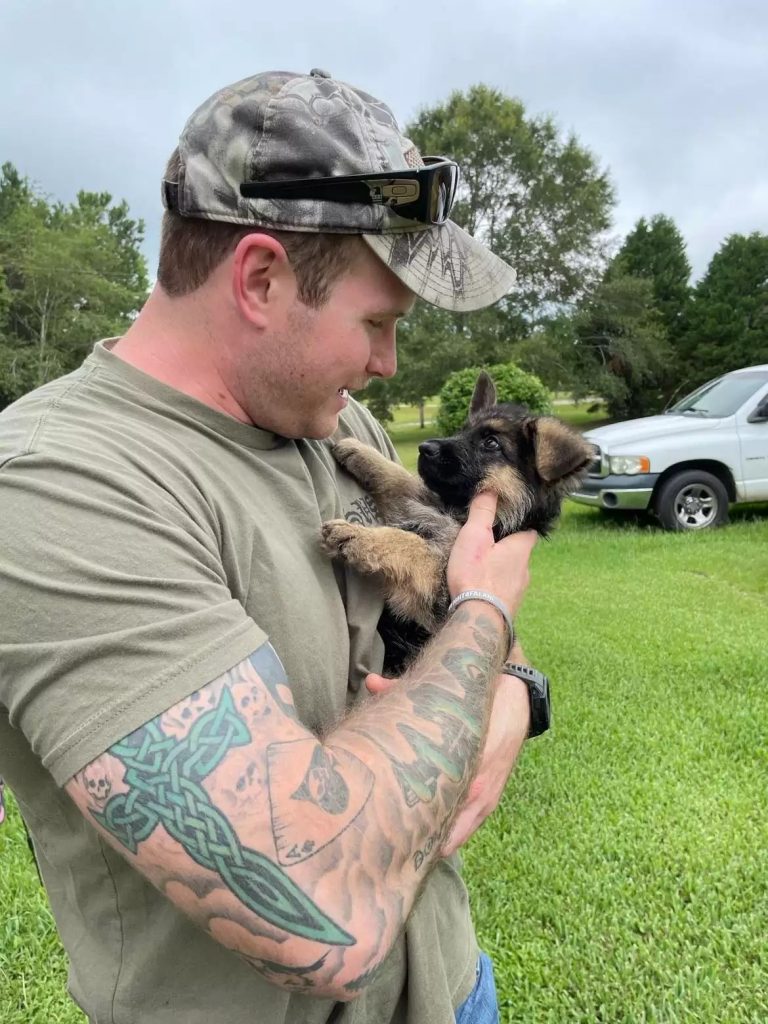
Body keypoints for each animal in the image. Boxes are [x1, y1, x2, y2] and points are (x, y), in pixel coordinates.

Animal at [321, 372, 593, 675]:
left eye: (491, 443)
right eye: (463, 431)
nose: (425, 448)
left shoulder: (437, 598)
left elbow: (414, 544)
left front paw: (358, 536)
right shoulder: (425, 503)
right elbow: (401, 479)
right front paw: (359, 452)